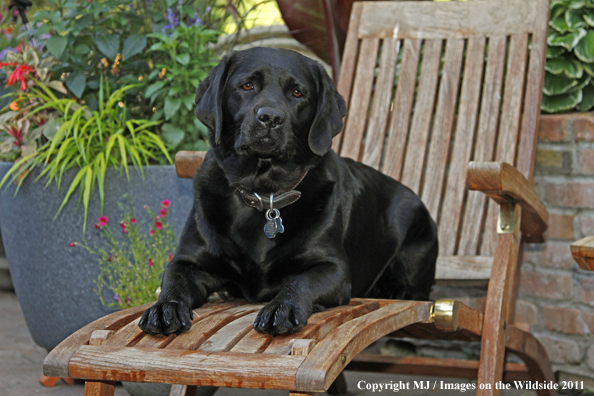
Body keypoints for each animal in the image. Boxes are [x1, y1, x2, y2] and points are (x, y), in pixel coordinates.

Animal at [138, 48, 434, 336]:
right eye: (247, 85)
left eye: (297, 93)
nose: (270, 117)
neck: (263, 193)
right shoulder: (189, 260)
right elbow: (173, 280)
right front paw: (165, 308)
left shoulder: (334, 269)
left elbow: (302, 280)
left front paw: (283, 307)